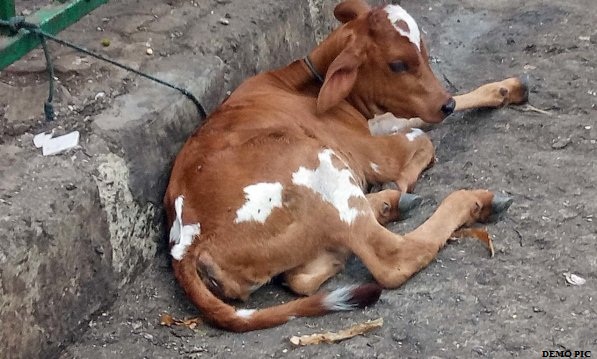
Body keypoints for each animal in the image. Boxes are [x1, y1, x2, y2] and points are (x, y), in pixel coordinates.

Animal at [164, 0, 528, 334]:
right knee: (393, 257)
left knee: (302, 276)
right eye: (398, 64)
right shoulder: (373, 152)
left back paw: (382, 208)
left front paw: (505, 89)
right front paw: (403, 180)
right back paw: (471, 201)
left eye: (424, 53)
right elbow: (422, 141)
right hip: (319, 164)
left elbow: (415, 122)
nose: (445, 104)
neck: (306, 86)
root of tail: (189, 245)